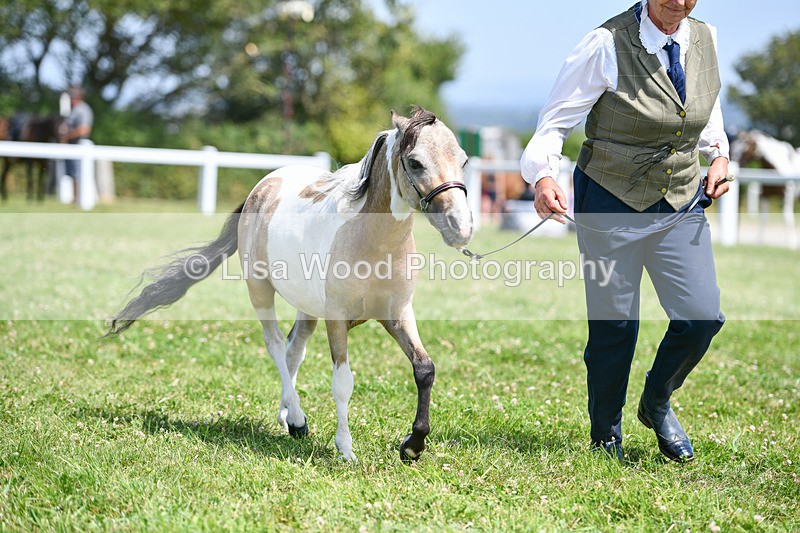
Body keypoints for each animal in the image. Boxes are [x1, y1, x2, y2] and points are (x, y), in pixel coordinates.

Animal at [107, 107, 474, 462]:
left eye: (463, 160)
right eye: (415, 162)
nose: (460, 228)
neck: (370, 241)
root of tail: (261, 188)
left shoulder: (398, 314)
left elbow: (424, 369)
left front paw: (413, 446)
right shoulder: (336, 320)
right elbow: (343, 382)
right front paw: (345, 449)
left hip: (306, 308)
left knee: (293, 350)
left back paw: (288, 417)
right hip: (260, 290)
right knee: (275, 345)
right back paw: (297, 420)